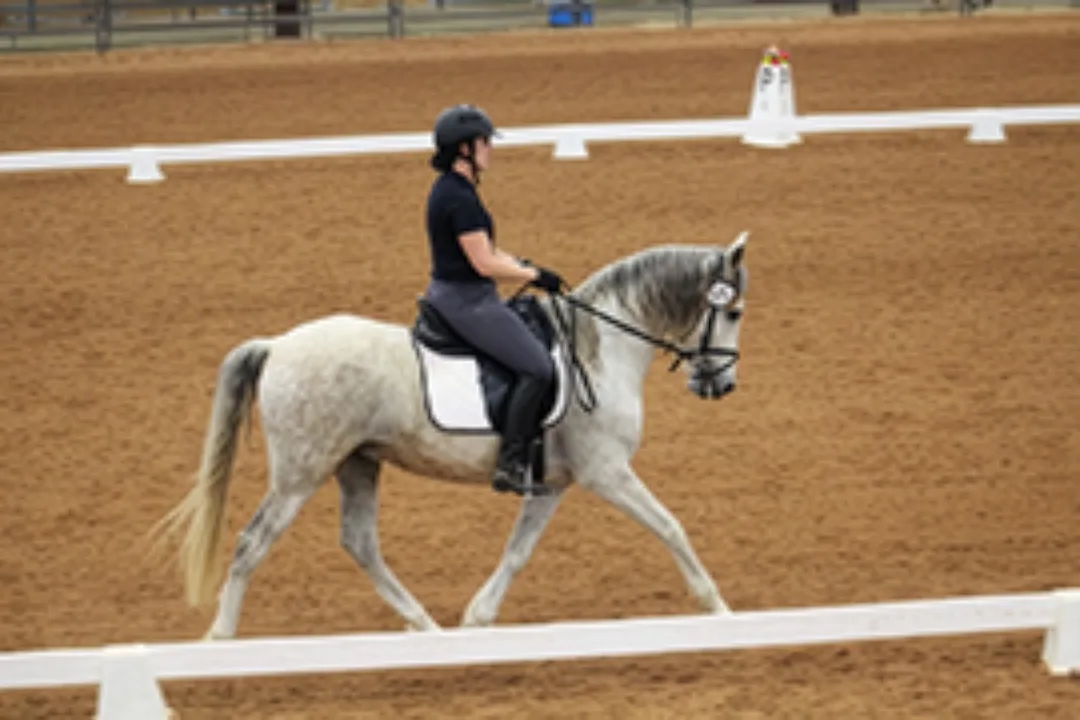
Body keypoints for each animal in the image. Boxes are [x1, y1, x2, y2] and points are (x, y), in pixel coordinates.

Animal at [153, 231, 751, 639]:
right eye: (734, 311)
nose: (720, 384)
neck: (599, 349)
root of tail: (277, 345)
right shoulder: (607, 472)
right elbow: (671, 527)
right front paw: (720, 610)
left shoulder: (555, 482)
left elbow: (518, 551)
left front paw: (477, 619)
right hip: (301, 473)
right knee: (251, 544)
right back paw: (221, 642)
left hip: (358, 462)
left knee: (359, 542)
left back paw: (427, 629)